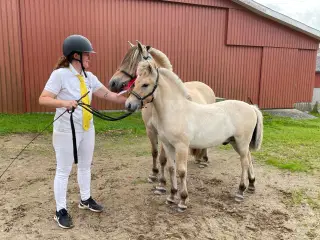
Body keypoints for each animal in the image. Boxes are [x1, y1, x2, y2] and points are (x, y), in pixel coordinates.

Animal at [124, 61, 262, 211]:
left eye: (145, 84)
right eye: (135, 83)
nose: (129, 105)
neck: (175, 111)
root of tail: (251, 107)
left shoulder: (182, 147)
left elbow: (181, 171)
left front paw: (183, 201)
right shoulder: (168, 145)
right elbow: (171, 168)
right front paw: (171, 196)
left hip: (241, 142)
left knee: (244, 163)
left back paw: (240, 192)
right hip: (236, 143)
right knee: (249, 159)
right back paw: (251, 185)